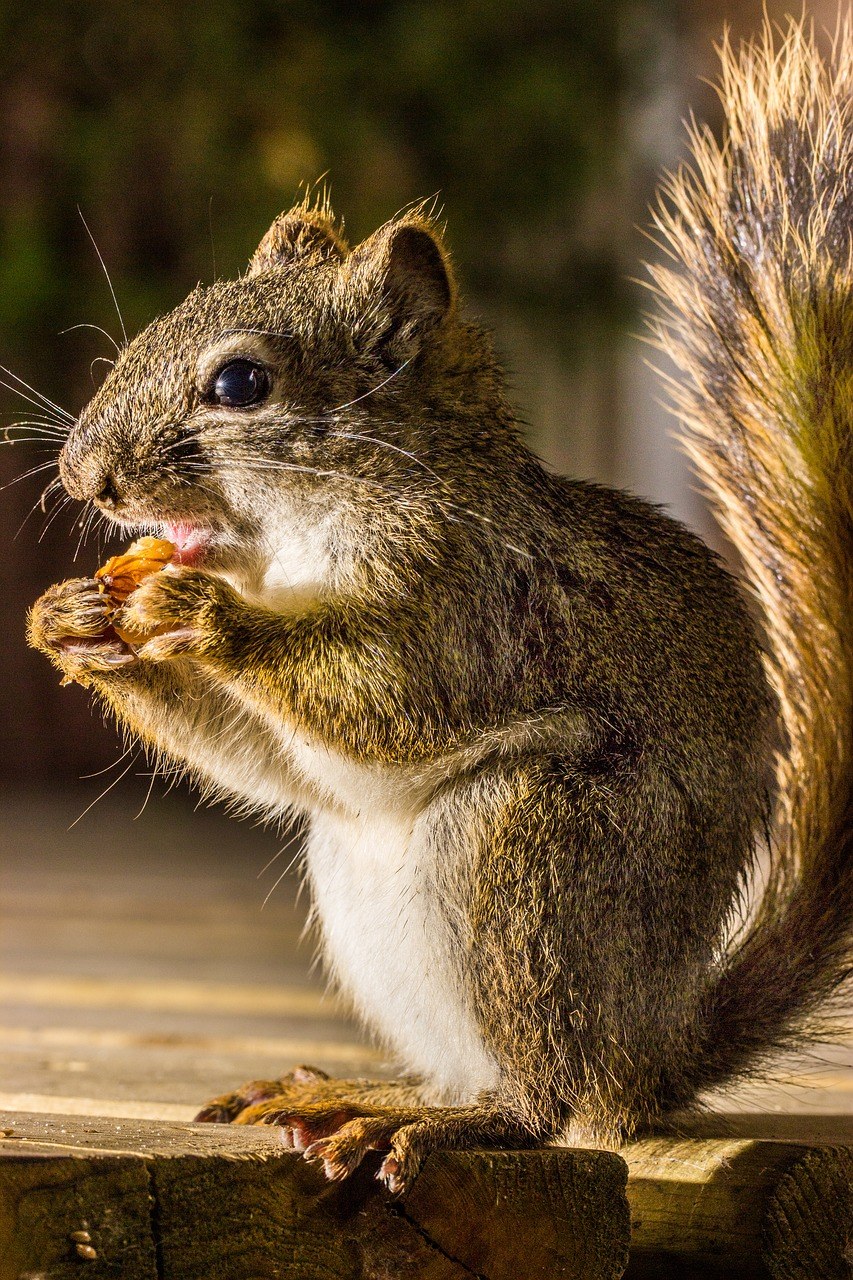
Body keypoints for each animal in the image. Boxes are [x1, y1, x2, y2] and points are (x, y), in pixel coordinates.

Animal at [23, 20, 850, 1192]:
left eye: (240, 384)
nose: (84, 478)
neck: (291, 544)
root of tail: (654, 1050)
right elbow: (265, 760)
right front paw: (70, 624)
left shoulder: (475, 599)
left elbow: (388, 694)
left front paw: (211, 619)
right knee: (471, 1069)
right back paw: (364, 1091)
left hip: (537, 861)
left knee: (550, 1099)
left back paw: (444, 1123)